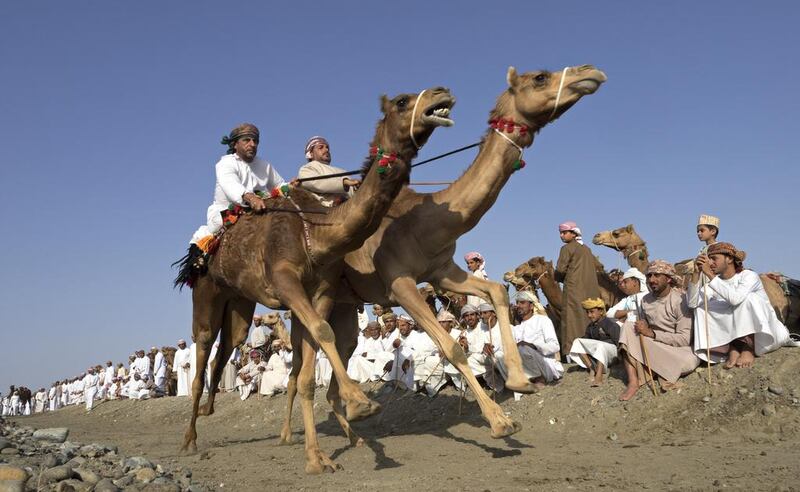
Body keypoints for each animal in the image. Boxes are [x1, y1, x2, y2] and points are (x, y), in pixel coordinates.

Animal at [182, 88, 456, 472]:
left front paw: (317, 456)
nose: (441, 93)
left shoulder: (321, 292)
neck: (315, 232)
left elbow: (310, 365)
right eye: (402, 101)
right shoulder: (285, 281)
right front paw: (360, 404)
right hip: (206, 290)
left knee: (230, 344)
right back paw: (189, 440)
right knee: (203, 347)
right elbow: (322, 336)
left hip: (239, 304)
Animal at [282, 64, 608, 446]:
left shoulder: (442, 271)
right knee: (298, 369)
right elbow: (452, 348)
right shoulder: (400, 284)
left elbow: (495, 291)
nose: (590, 73)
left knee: (338, 358)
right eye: (540, 77)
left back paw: (355, 433)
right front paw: (501, 422)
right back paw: (290, 436)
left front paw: (520, 382)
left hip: (344, 308)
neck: (426, 221)